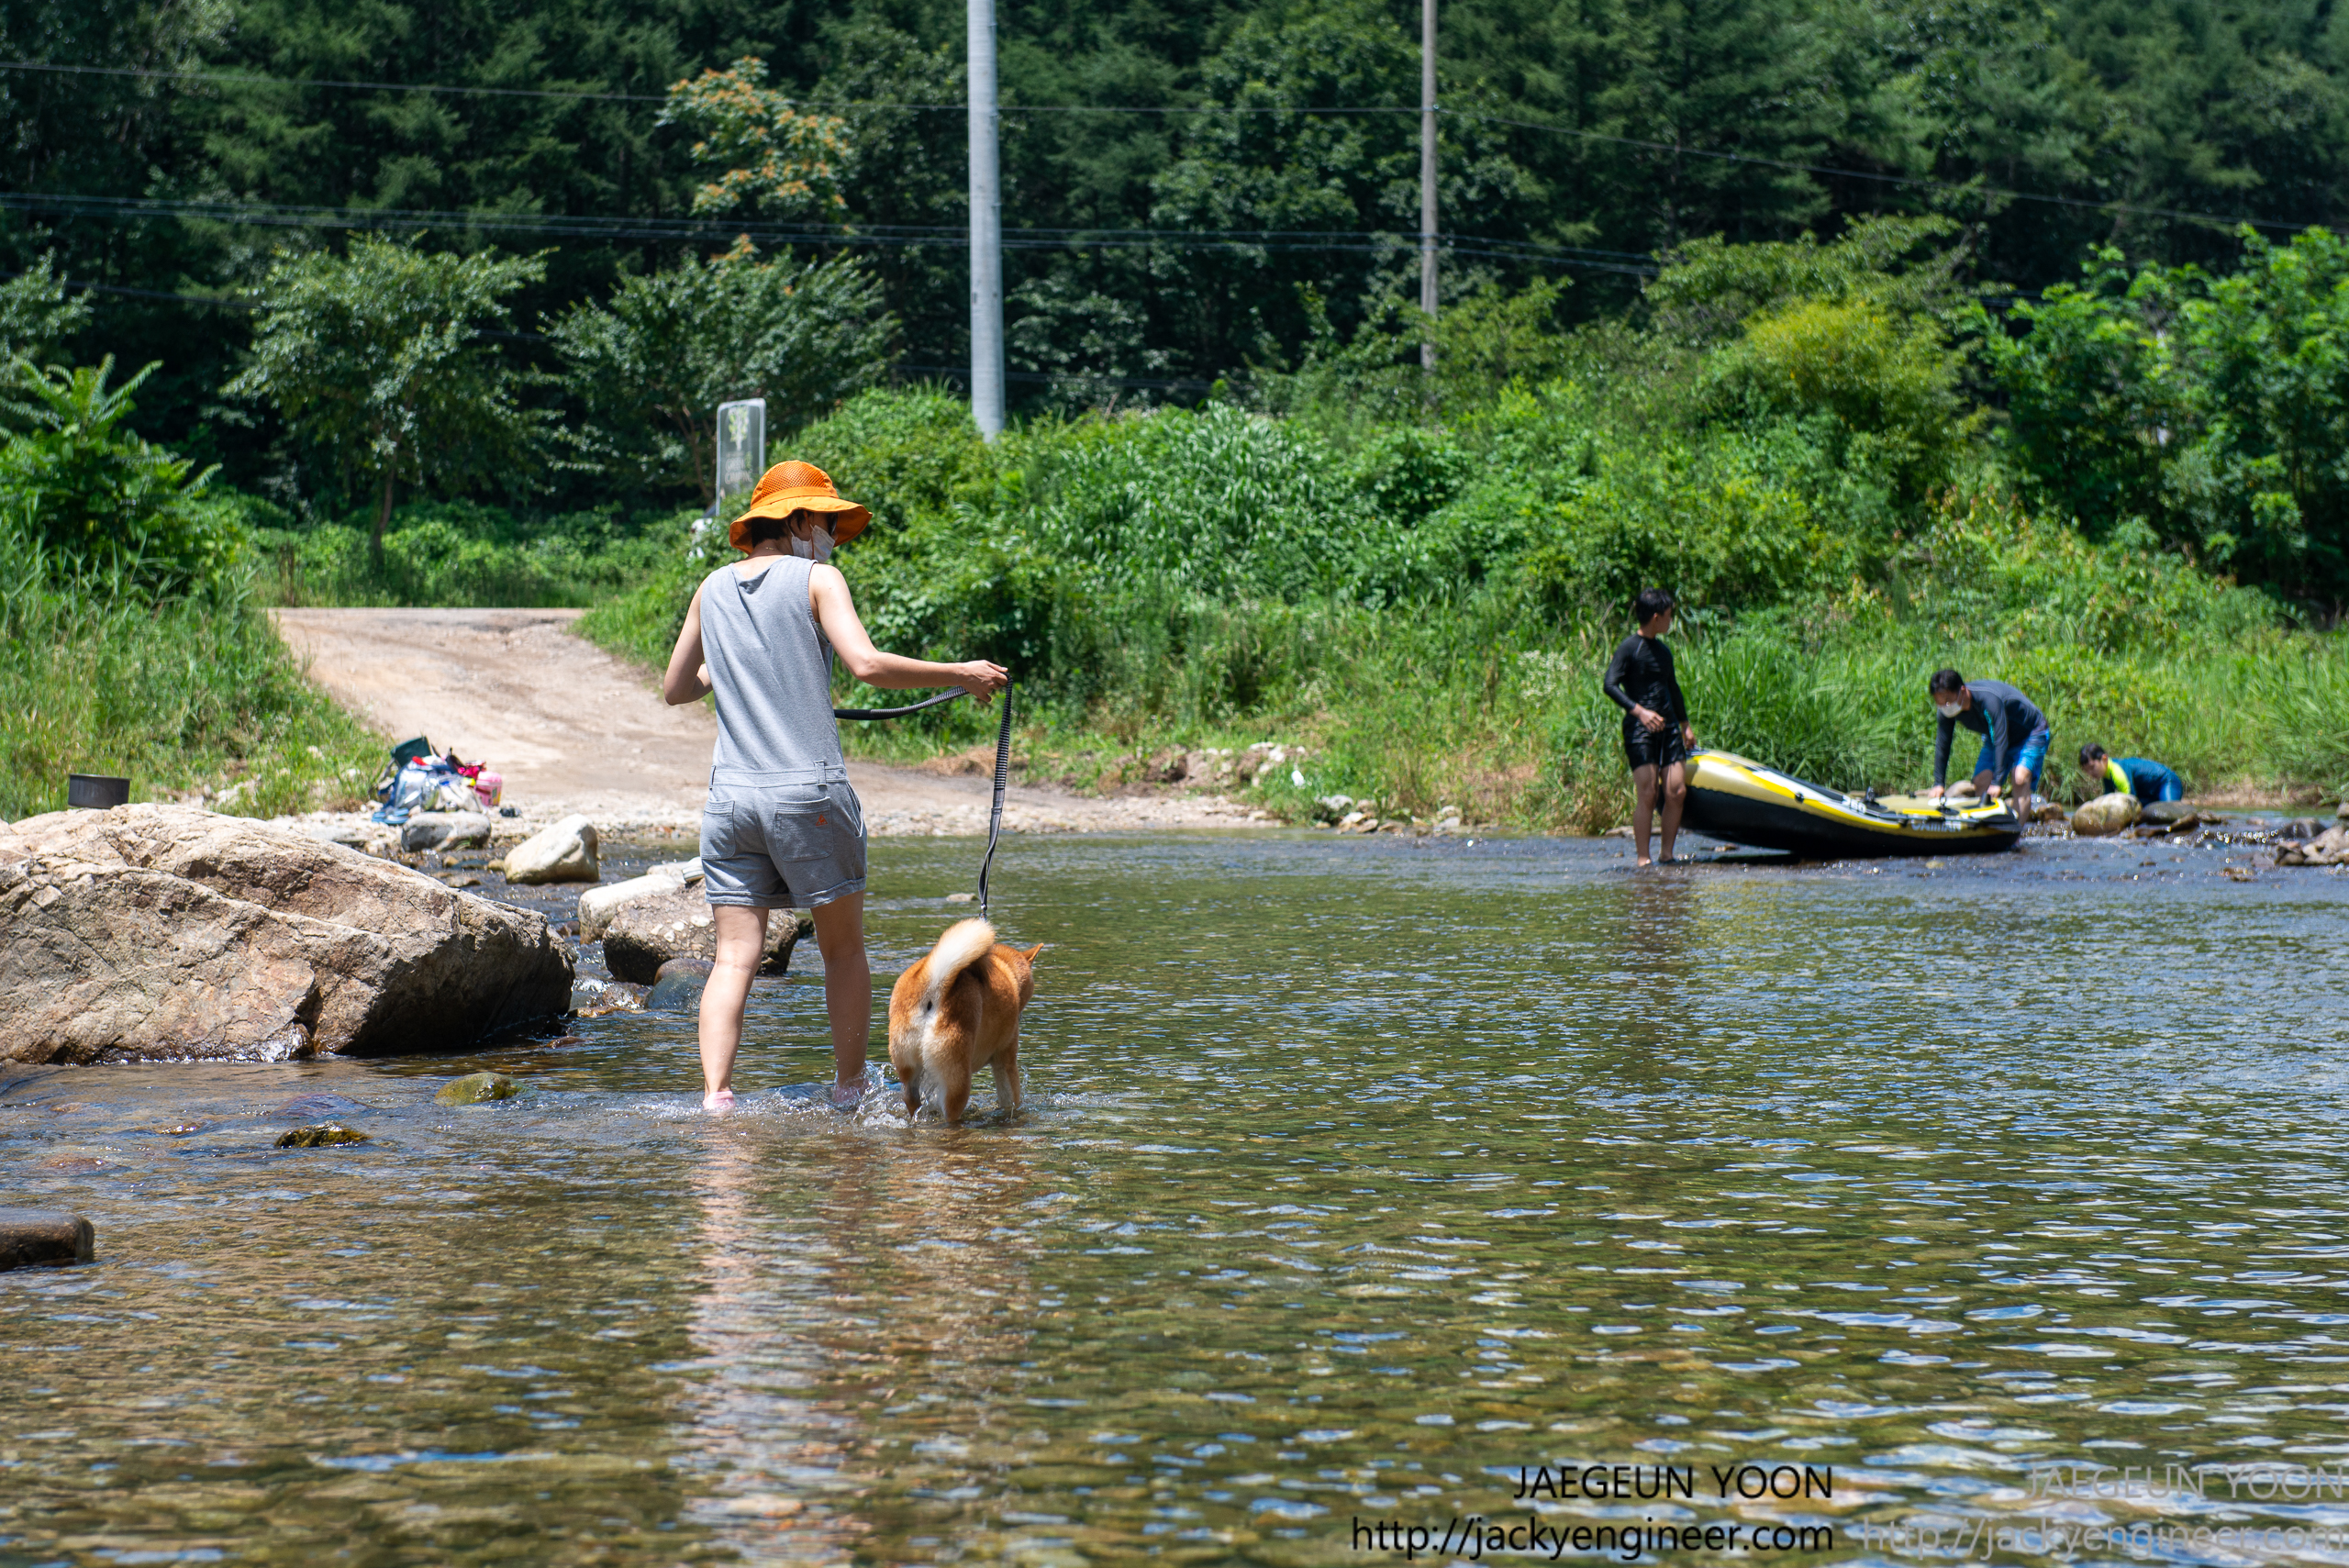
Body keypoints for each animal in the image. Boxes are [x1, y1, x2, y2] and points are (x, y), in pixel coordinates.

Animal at [887, 919, 1043, 1124]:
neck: (1006, 970)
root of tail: (933, 986)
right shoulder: (1005, 1059)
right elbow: (1010, 1100)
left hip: (908, 1067)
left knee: (910, 1098)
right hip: (957, 1080)